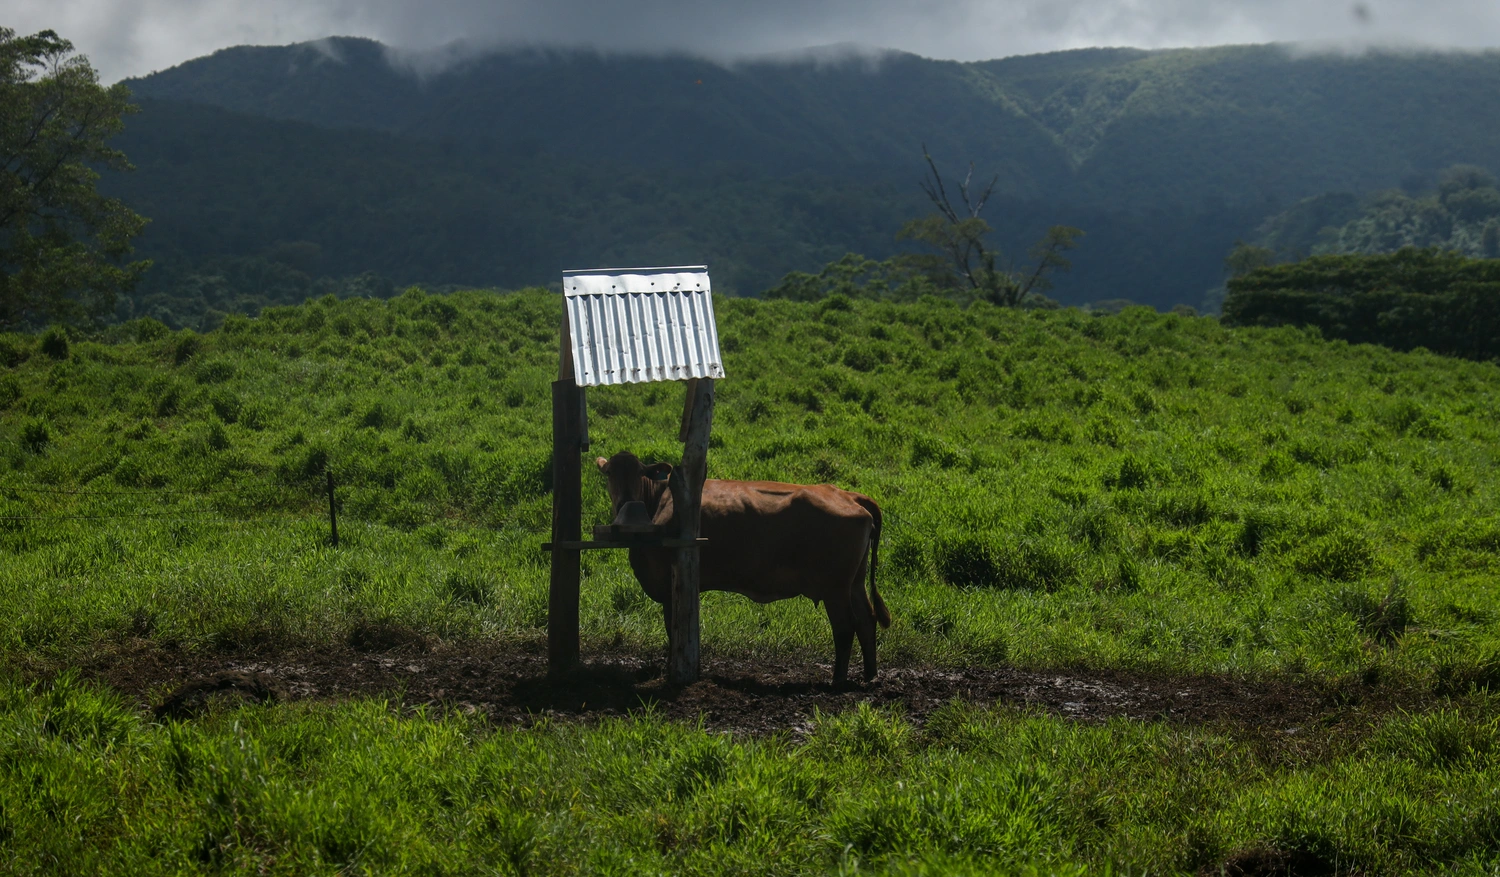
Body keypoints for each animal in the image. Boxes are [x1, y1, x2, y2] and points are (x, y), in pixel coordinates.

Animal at [595, 450, 891, 684]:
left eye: (639, 473)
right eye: (608, 473)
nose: (623, 503)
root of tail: (847, 494)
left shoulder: (670, 584)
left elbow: (673, 629)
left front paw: (672, 669)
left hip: (835, 588)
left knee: (845, 627)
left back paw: (838, 679)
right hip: (855, 583)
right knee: (867, 621)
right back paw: (870, 674)